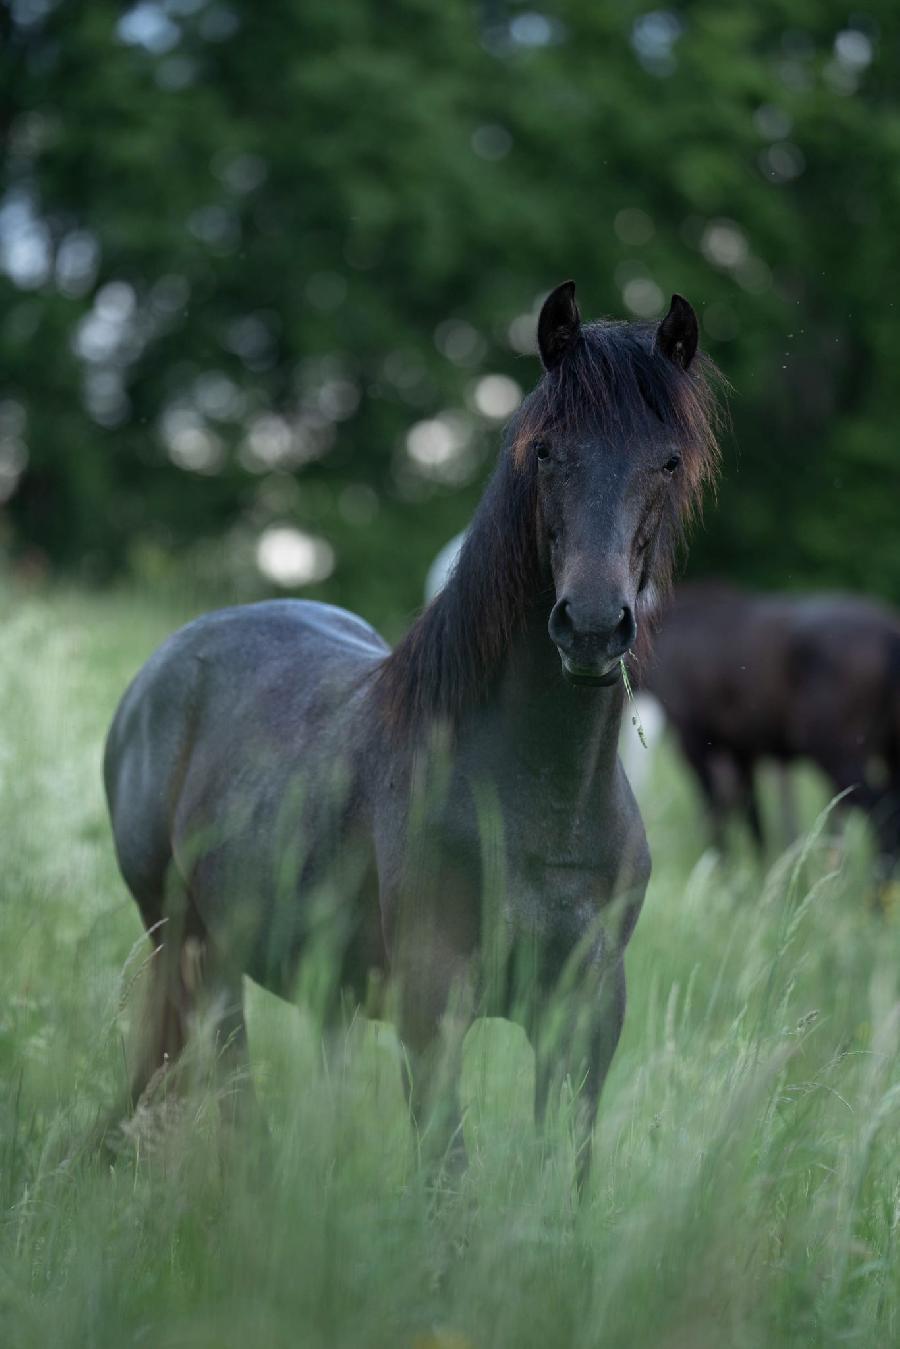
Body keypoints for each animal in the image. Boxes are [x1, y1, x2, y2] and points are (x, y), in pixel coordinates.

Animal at [103, 287, 723, 1170]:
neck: (541, 803)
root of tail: (164, 667)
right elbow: (448, 1177)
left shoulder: (585, 1017)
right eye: (545, 452)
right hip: (195, 949)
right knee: (230, 1086)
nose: (593, 627)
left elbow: (562, 1175)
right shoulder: (432, 1016)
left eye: (667, 460)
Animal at [644, 585, 900, 868]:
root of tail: (889, 635)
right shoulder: (742, 749)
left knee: (883, 812)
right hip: (887, 753)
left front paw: (720, 864)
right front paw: (758, 867)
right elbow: (752, 812)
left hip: (838, 753)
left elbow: (715, 808)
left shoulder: (694, 739)